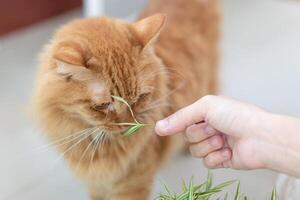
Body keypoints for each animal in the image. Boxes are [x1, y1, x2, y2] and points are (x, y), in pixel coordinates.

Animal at [32, 0, 219, 199]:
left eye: (140, 98)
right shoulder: (97, 184)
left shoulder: (132, 186)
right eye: (104, 105)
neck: (100, 147)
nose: (127, 125)